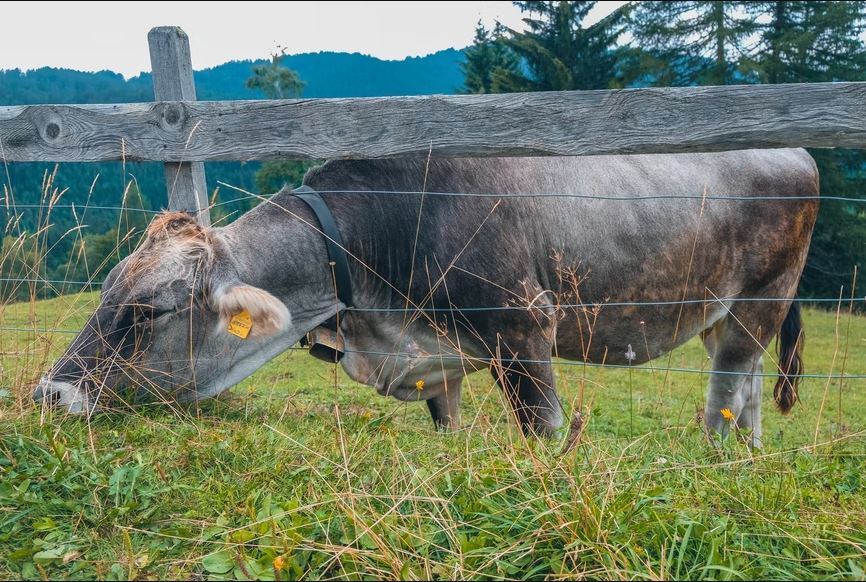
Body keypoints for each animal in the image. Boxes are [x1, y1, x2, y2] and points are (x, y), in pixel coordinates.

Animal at [35, 151, 816, 448]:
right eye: (107, 288)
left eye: (148, 310)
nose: (50, 393)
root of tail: (792, 150)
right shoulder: (437, 360)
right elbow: (448, 431)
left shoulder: (521, 330)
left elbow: (542, 431)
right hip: (728, 317)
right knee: (747, 393)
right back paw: (747, 460)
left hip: (758, 303)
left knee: (724, 396)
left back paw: (715, 460)